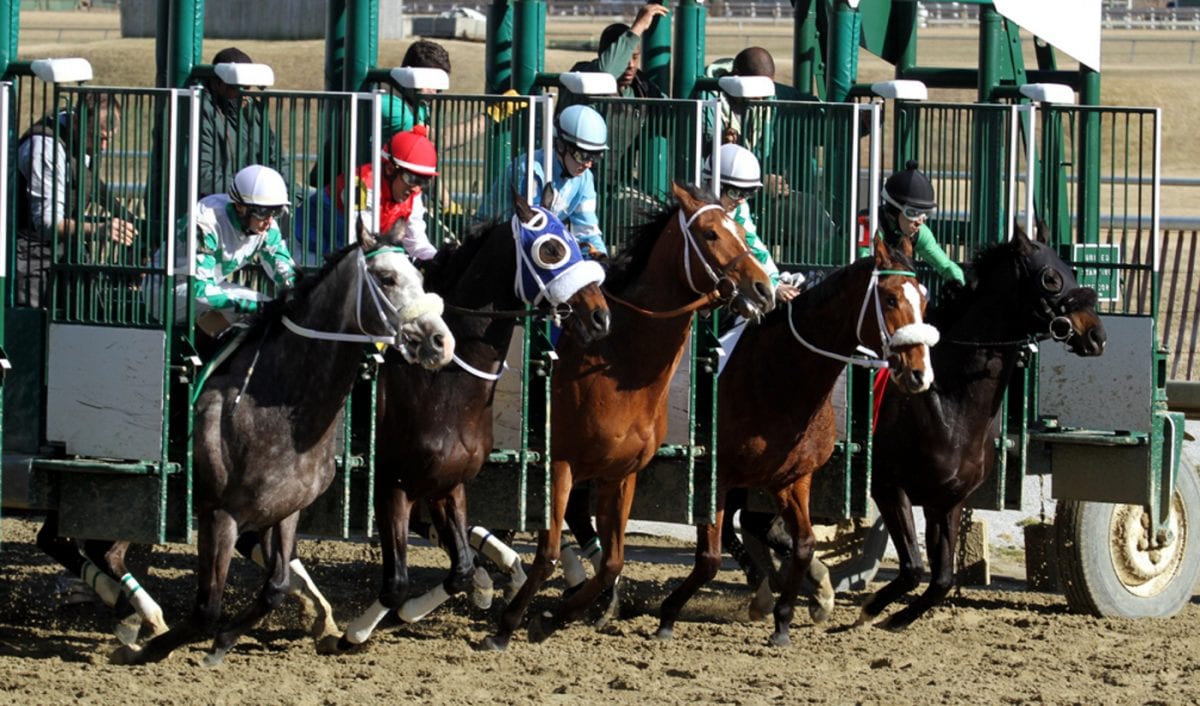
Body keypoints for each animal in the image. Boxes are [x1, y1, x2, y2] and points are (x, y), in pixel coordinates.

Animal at [109, 222, 453, 667]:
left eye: (421, 278)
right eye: (387, 278)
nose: (441, 342)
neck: (278, 404)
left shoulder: (286, 510)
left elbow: (276, 585)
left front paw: (224, 642)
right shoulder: (219, 514)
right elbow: (207, 608)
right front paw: (150, 650)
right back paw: (141, 621)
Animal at [331, 189, 614, 648]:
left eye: (577, 241)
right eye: (551, 249)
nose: (600, 316)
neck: (441, 384)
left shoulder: (448, 483)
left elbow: (460, 568)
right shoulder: (393, 483)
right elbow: (398, 581)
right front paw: (357, 631)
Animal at [484, 182, 777, 653]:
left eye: (741, 229)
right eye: (711, 233)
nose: (764, 290)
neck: (616, 362)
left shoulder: (620, 473)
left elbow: (613, 560)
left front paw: (557, 616)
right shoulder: (558, 463)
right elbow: (548, 551)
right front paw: (510, 622)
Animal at [652, 237, 940, 643]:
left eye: (924, 302)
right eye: (889, 299)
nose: (919, 374)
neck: (777, 376)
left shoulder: (792, 477)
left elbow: (803, 543)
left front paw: (789, 616)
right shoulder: (714, 475)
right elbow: (710, 556)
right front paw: (668, 614)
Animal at [864, 220, 1104, 629]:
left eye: (1073, 270)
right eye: (1051, 278)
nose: (1096, 334)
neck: (947, 403)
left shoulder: (948, 500)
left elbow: (941, 579)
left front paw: (898, 618)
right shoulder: (888, 485)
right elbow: (912, 568)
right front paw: (870, 609)